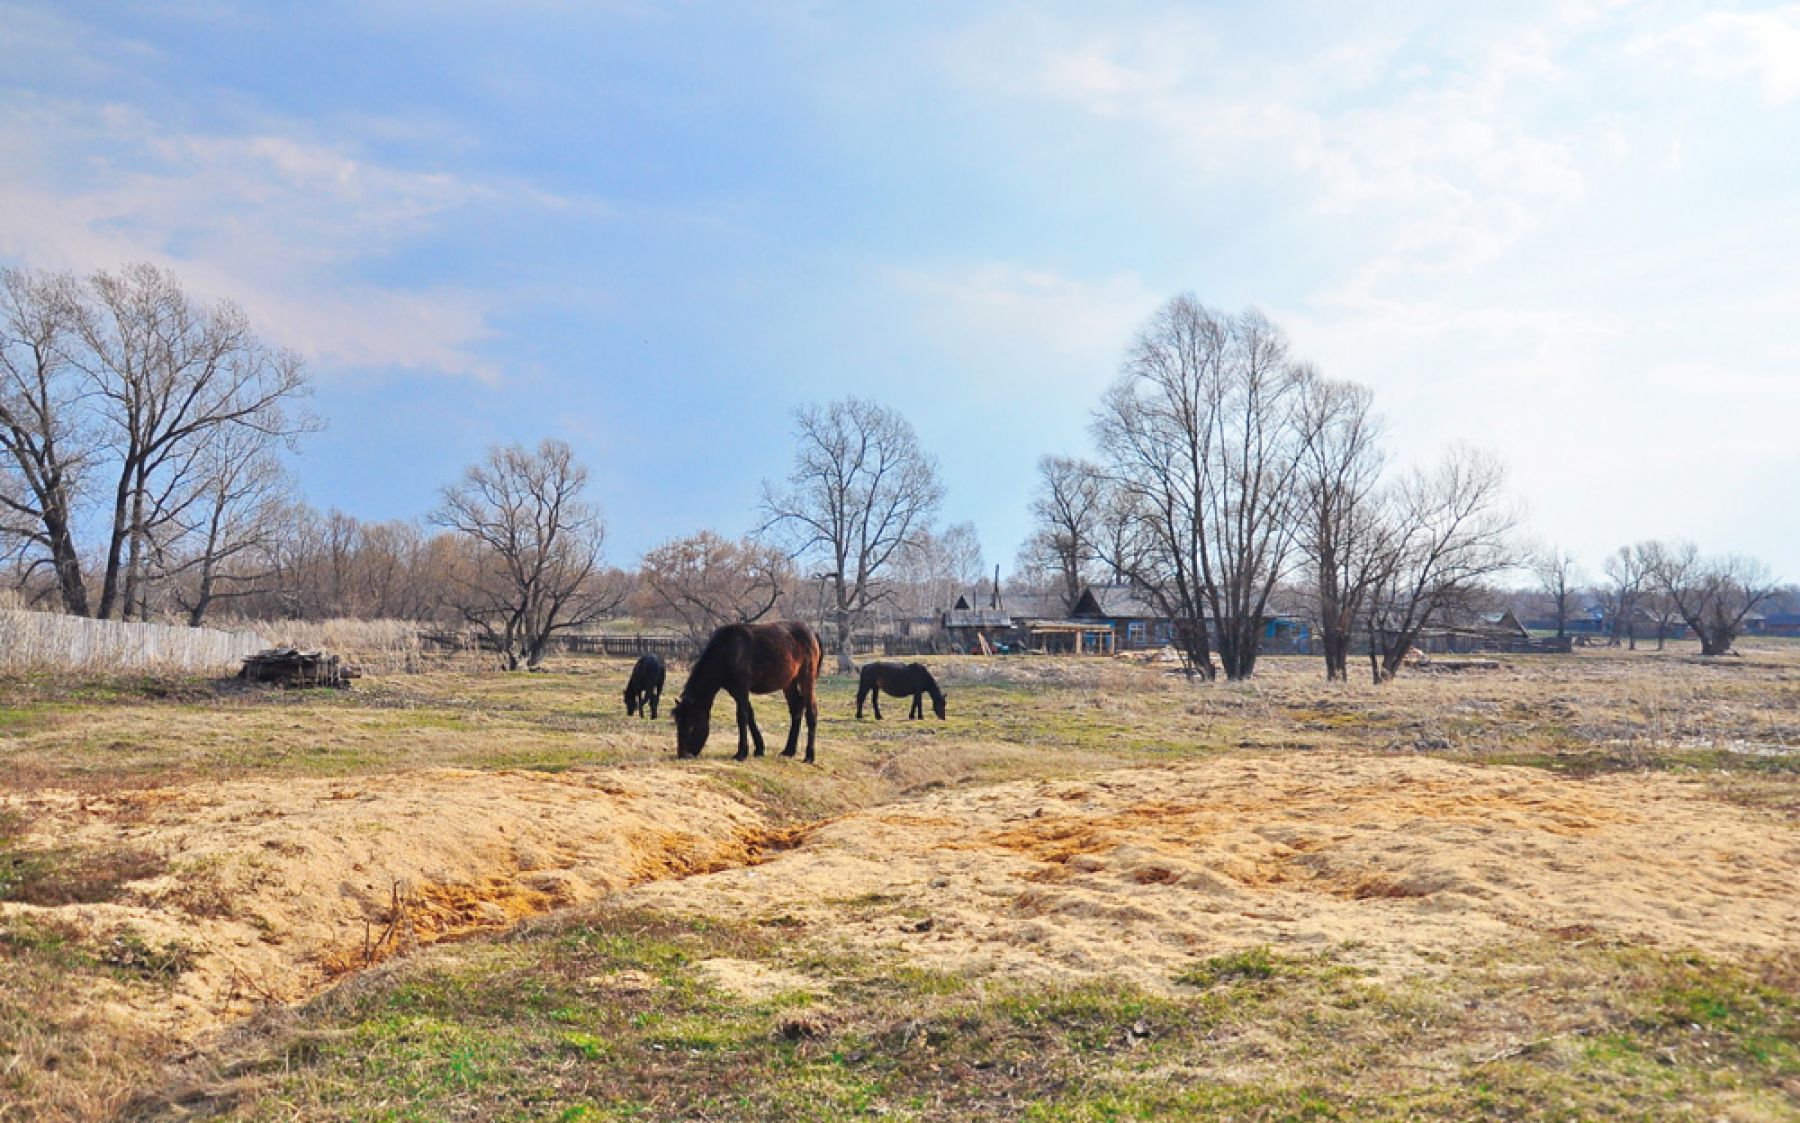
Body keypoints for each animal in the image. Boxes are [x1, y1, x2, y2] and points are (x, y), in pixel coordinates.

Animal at [673, 622, 820, 763]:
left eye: (690, 725)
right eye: (678, 724)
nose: (682, 755)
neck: (727, 651)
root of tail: (812, 633)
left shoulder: (741, 689)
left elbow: (742, 717)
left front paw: (741, 753)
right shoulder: (735, 691)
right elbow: (750, 715)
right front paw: (759, 749)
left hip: (806, 679)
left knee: (811, 712)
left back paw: (809, 756)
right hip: (789, 683)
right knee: (796, 709)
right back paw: (789, 751)